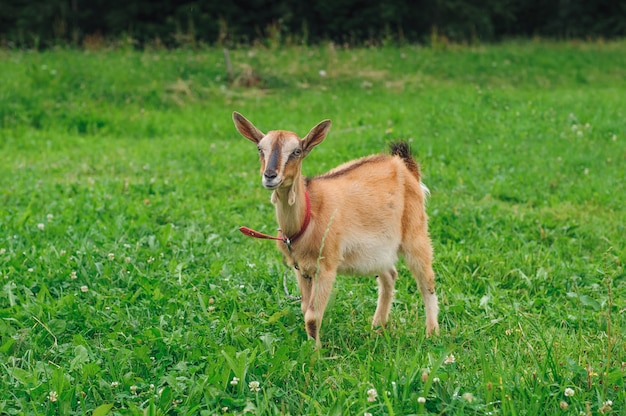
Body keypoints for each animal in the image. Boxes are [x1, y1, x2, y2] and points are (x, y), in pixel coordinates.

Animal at [234, 111, 438, 344]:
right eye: (260, 149)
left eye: (296, 151)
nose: (270, 176)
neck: (308, 215)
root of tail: (405, 167)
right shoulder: (301, 269)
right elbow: (305, 309)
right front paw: (310, 346)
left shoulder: (326, 266)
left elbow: (312, 316)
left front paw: (316, 351)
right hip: (378, 251)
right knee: (389, 276)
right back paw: (377, 327)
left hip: (416, 233)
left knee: (427, 282)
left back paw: (432, 333)